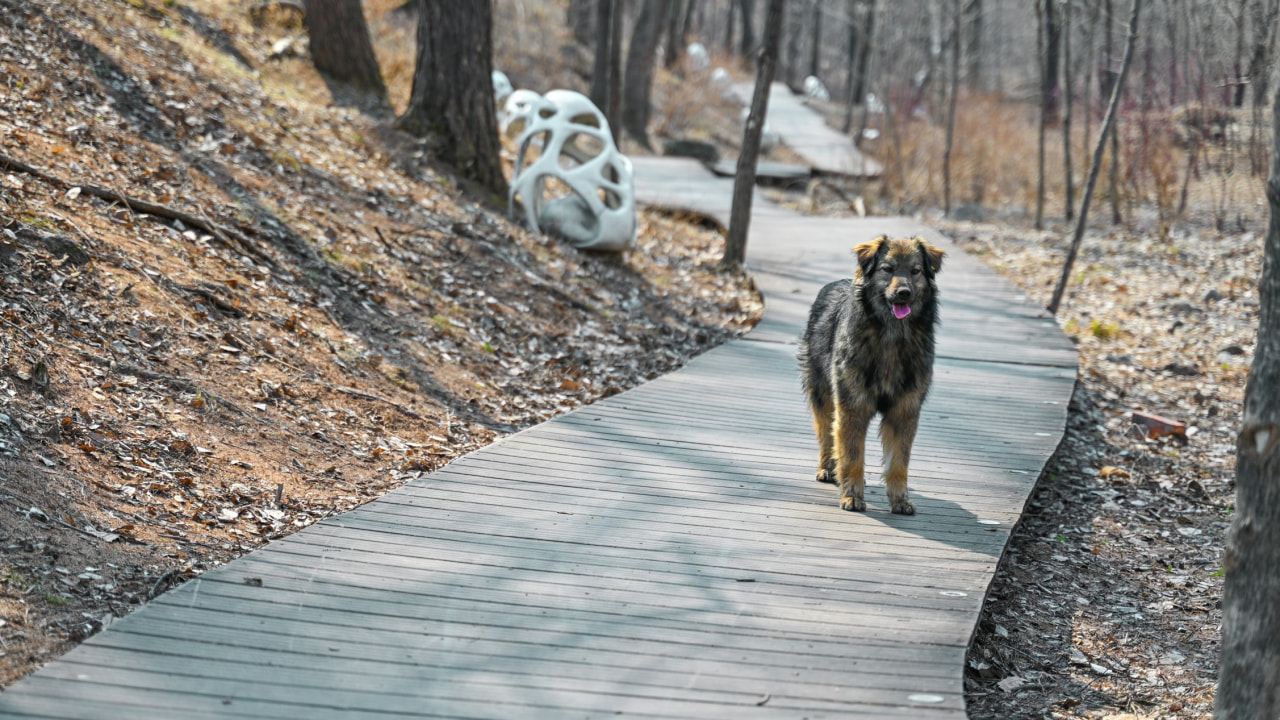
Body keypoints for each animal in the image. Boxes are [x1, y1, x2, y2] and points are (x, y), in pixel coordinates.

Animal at [793, 234, 947, 509]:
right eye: (887, 269)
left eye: (915, 271)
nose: (904, 293)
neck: (892, 338)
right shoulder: (852, 407)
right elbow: (852, 457)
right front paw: (852, 495)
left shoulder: (904, 411)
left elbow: (898, 462)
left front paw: (900, 499)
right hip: (822, 395)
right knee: (826, 433)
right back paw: (827, 468)